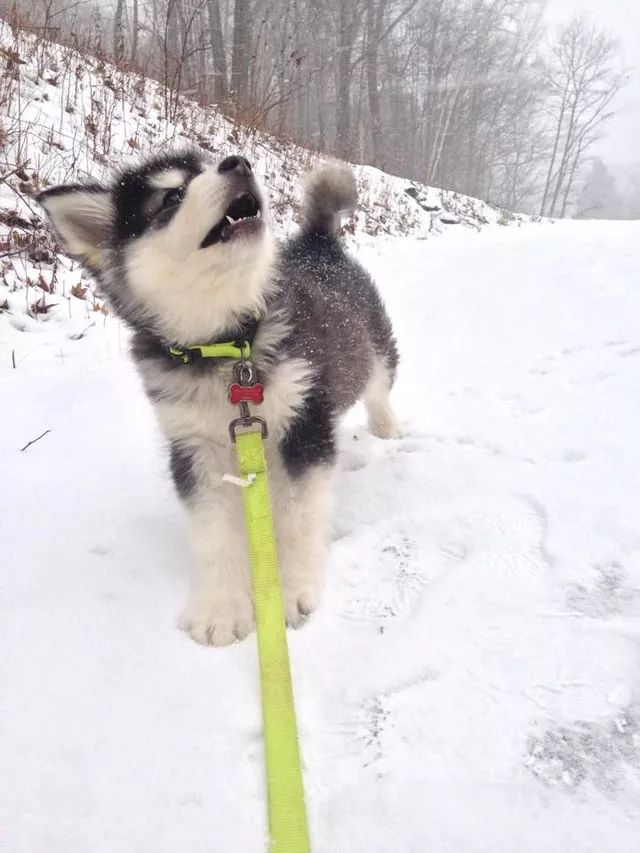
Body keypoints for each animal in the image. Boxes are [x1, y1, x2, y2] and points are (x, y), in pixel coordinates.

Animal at [36, 153, 400, 644]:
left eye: (206, 163)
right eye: (171, 196)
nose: (237, 162)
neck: (229, 343)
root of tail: (316, 244)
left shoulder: (304, 421)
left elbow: (299, 517)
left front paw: (293, 590)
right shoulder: (193, 446)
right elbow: (212, 534)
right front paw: (220, 610)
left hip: (374, 347)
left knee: (379, 385)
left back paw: (387, 426)